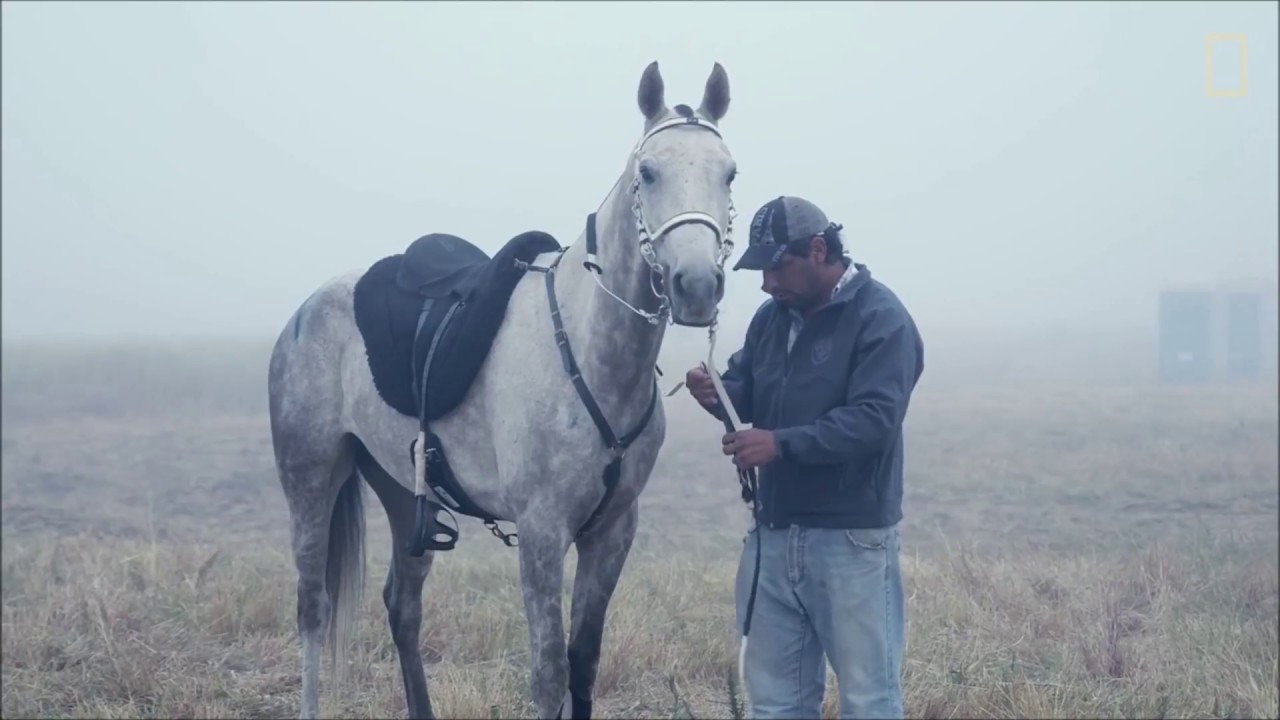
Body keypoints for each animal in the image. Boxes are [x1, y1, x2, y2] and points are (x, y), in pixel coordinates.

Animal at [266, 60, 738, 719]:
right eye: (649, 172)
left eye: (729, 172)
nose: (696, 285)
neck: (588, 351)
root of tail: (306, 309)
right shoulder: (541, 532)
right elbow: (549, 672)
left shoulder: (612, 532)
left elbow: (583, 663)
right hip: (311, 479)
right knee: (313, 610)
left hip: (402, 490)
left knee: (402, 607)